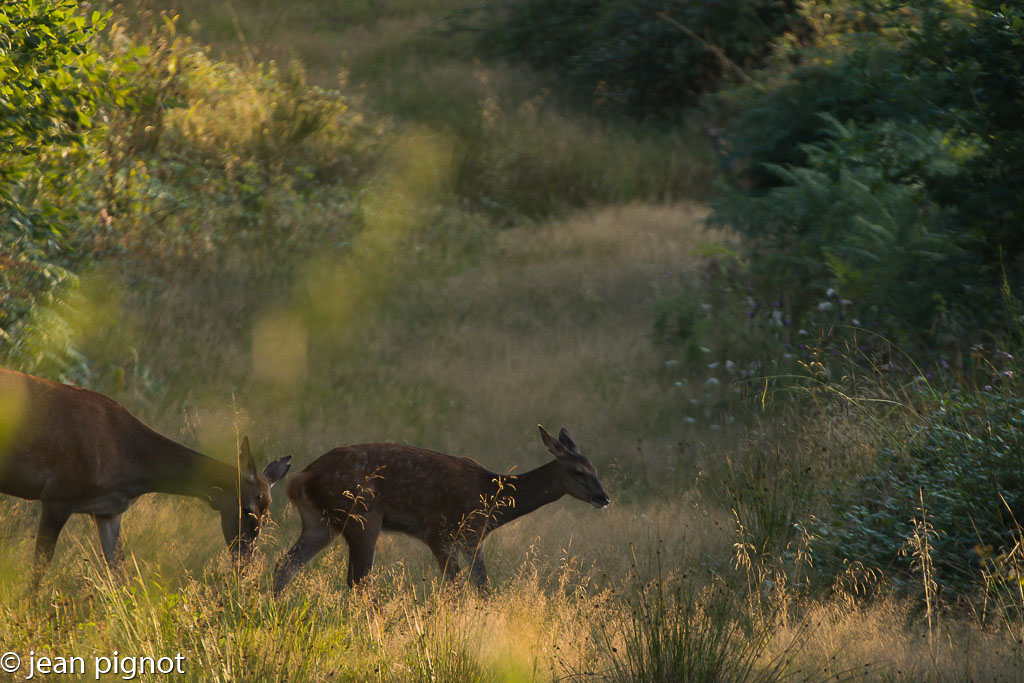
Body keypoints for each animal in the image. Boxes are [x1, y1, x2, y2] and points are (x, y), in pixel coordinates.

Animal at [0, 368, 292, 581]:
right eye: (247, 510)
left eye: (267, 517)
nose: (245, 567)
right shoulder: (58, 493)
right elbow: (39, 570)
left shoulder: (108, 512)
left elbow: (121, 575)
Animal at [272, 428, 606, 593]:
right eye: (578, 472)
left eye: (595, 469)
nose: (604, 497)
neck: (492, 499)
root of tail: (300, 478)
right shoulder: (438, 531)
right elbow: (456, 587)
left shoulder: (473, 540)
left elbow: (484, 587)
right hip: (362, 516)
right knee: (359, 580)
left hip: (321, 522)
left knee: (285, 565)